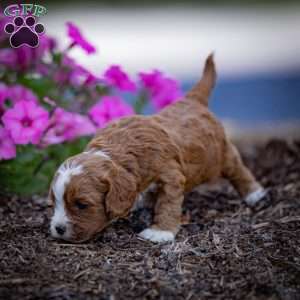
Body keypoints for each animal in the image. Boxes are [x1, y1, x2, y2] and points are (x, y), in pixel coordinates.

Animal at [48, 55, 264, 243]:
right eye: (54, 202)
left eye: (82, 205)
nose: (58, 229)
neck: (120, 152)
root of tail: (192, 100)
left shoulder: (171, 175)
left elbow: (167, 203)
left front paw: (160, 232)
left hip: (222, 153)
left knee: (237, 169)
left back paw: (254, 193)